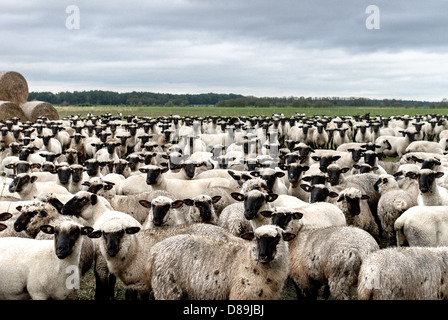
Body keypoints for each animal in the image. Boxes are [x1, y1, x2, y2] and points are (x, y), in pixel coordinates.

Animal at [145, 225, 296, 300]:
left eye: (277, 238)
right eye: (256, 238)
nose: (263, 255)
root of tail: (155, 250)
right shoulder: (242, 295)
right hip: (167, 289)